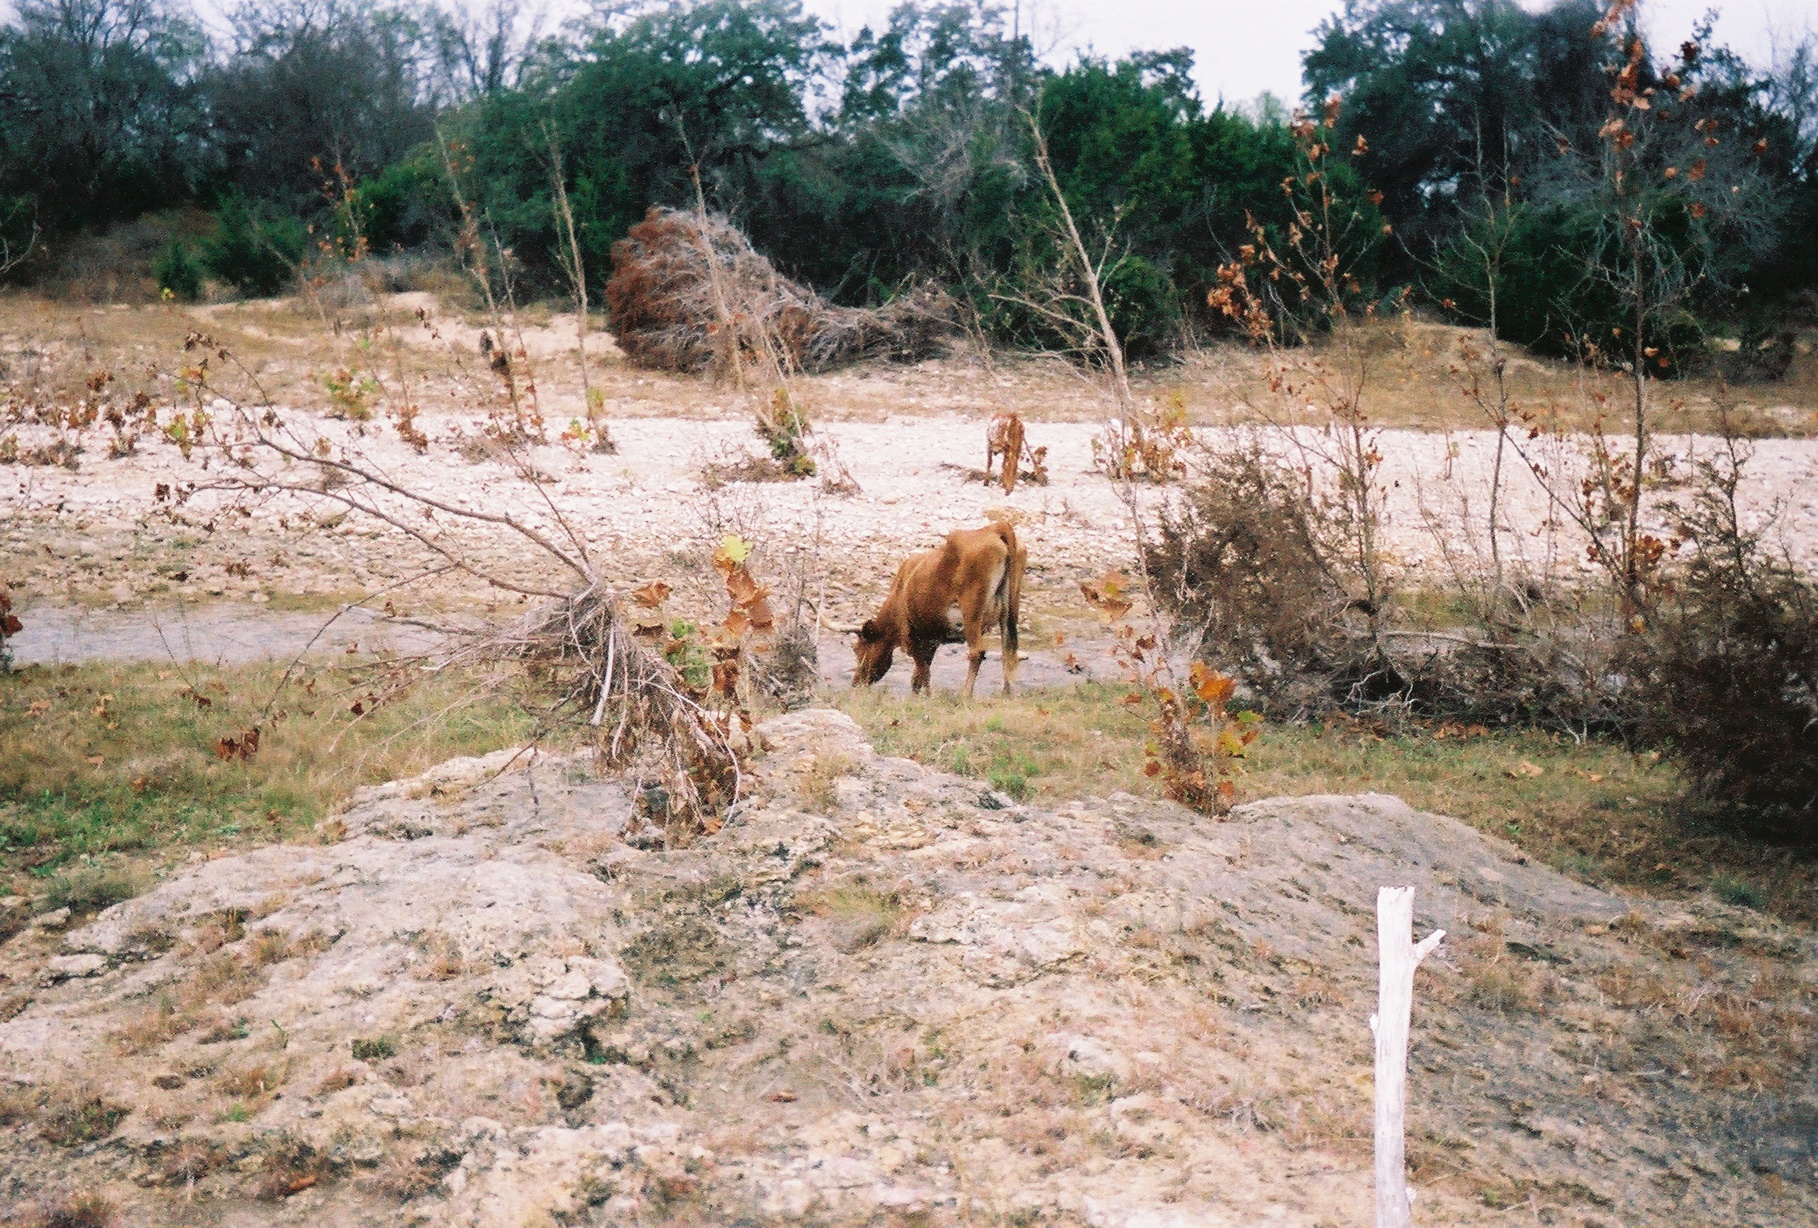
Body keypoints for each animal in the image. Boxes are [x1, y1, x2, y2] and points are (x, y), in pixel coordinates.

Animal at [850, 527, 1025, 702]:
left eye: (859, 650)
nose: (855, 682)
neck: (900, 591)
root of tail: (993, 528)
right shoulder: (931, 639)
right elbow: (918, 676)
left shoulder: (912, 638)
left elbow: (923, 672)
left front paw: (928, 697)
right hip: (1008, 614)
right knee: (1008, 650)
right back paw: (1006, 693)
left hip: (972, 614)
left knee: (977, 652)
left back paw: (966, 694)